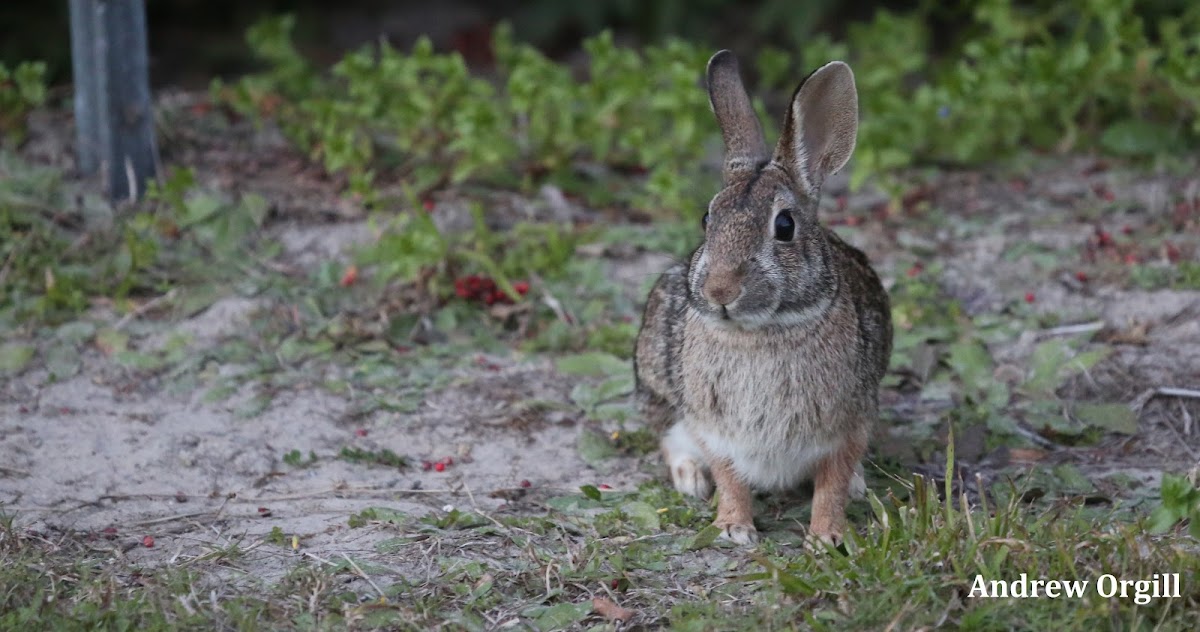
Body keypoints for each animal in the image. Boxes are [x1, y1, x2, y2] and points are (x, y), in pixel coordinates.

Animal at [638, 50, 892, 544]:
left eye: (785, 226)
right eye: (707, 219)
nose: (720, 290)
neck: (763, 330)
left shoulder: (849, 423)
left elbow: (831, 482)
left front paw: (827, 537)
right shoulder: (714, 427)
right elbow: (729, 476)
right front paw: (733, 528)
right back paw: (690, 479)